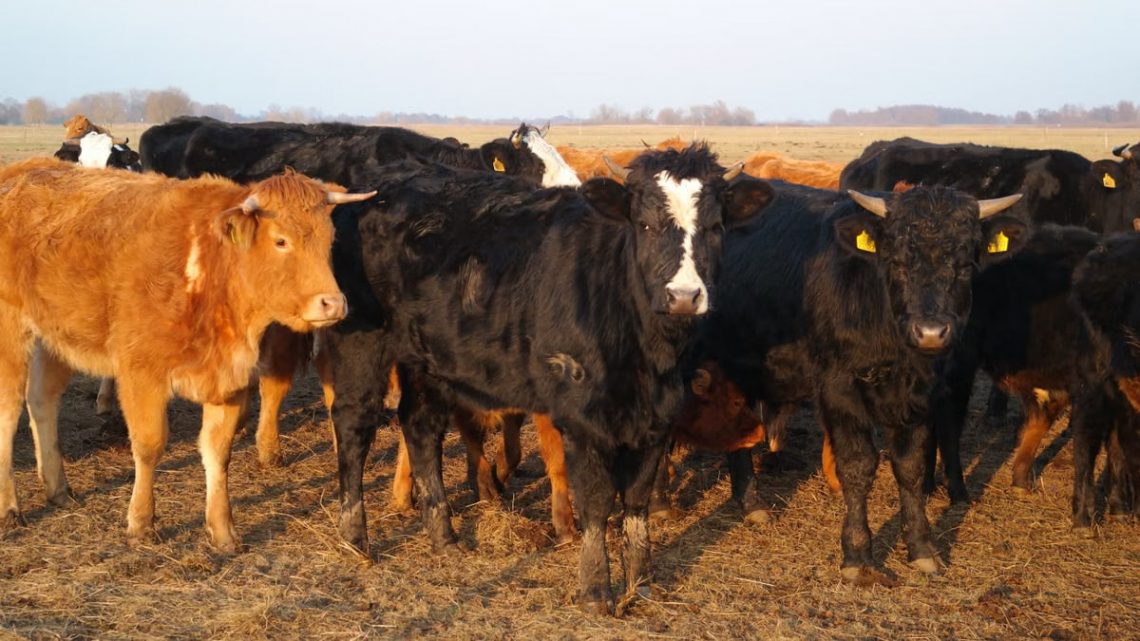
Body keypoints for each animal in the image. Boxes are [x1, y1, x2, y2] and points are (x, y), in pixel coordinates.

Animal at [0, 157, 373, 552]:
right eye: (281, 240)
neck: (209, 272)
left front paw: (222, 529)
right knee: (8, 412)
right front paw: (141, 521)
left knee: (41, 401)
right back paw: (10, 507)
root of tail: (21, 170)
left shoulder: (229, 380)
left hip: (54, 336)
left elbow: (217, 452)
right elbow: (149, 446)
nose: (333, 303)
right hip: (10, 333)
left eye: (328, 240)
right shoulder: (141, 374)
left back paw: (57, 487)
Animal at [321, 145, 770, 614]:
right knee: (354, 423)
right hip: (360, 337)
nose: (684, 296)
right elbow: (596, 501)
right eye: (645, 224)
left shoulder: (657, 418)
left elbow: (636, 502)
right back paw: (355, 537)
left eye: (715, 227)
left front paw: (642, 582)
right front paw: (595, 590)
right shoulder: (583, 419)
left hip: (426, 356)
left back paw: (444, 537)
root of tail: (379, 183)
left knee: (420, 426)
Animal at [691, 178, 1026, 582]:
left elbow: (911, 468)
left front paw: (922, 547)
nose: (931, 333)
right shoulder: (839, 390)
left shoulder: (920, 397)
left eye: (964, 265)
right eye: (896, 262)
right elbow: (858, 466)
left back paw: (750, 502)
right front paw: (858, 555)